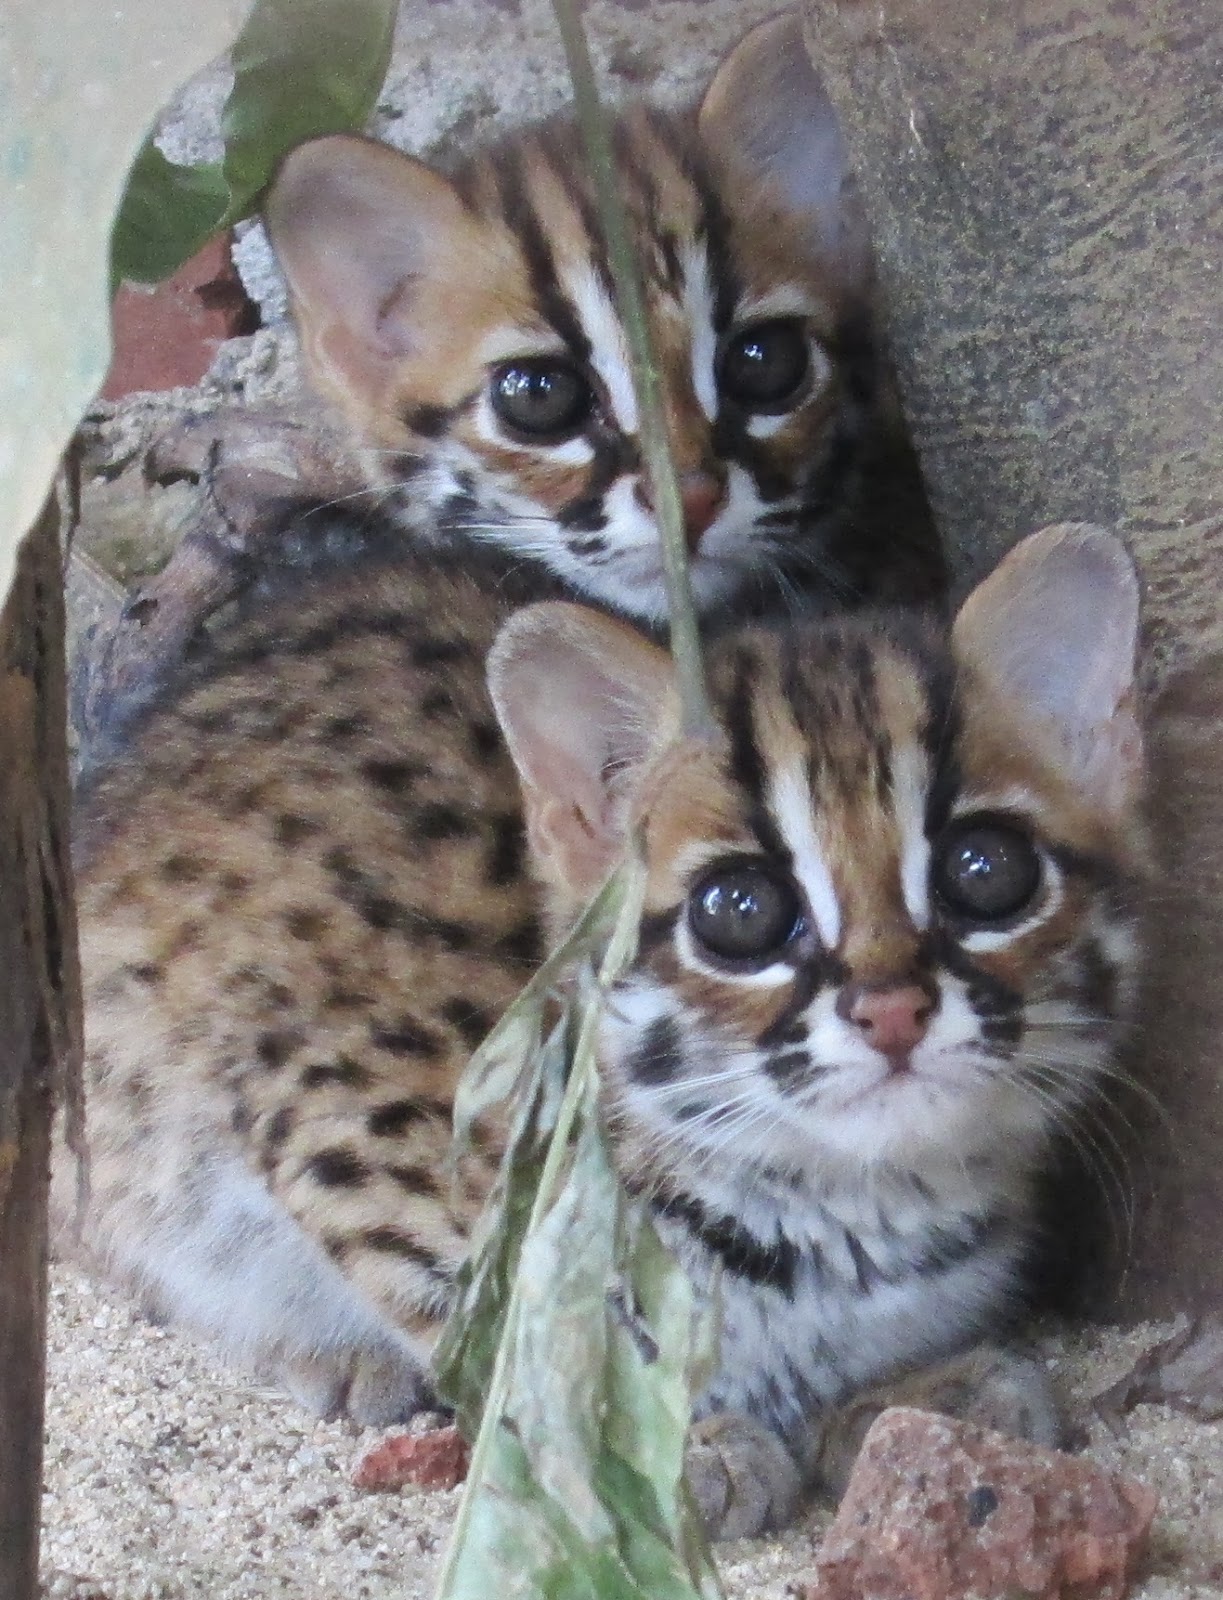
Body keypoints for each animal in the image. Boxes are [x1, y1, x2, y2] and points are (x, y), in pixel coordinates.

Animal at [69, 524, 1146, 1536]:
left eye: (985, 870)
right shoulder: (332, 1102)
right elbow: (491, 1325)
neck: (838, 1198)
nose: (891, 1011)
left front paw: (912, 1393)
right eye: (739, 909)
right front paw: (657, 1444)